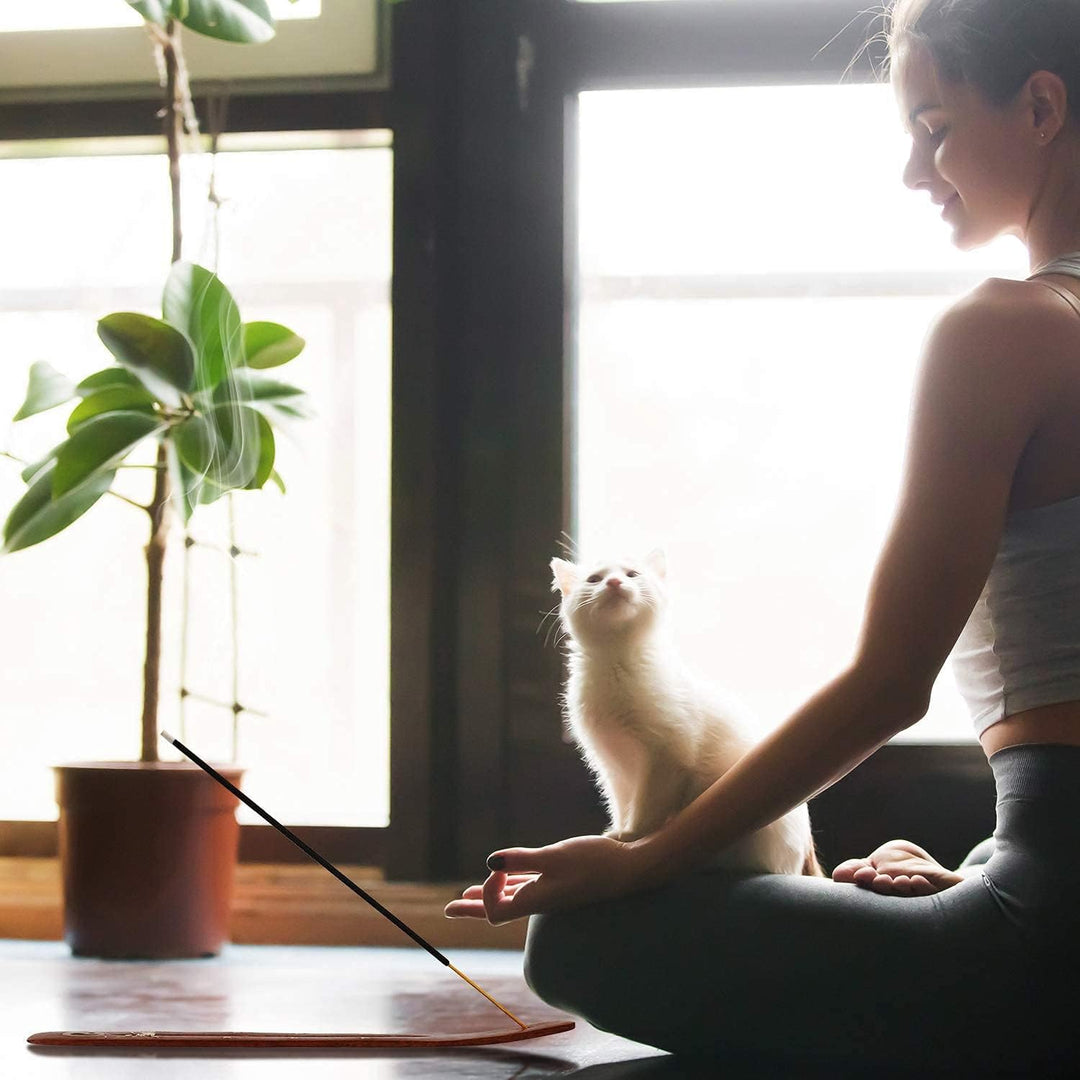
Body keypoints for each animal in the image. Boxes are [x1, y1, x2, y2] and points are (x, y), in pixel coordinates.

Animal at [552, 548, 820, 876]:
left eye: (632, 574)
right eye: (594, 579)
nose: (614, 583)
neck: (617, 660)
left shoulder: (668, 755)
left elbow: (649, 805)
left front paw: (633, 837)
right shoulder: (613, 767)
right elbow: (623, 802)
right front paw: (619, 830)